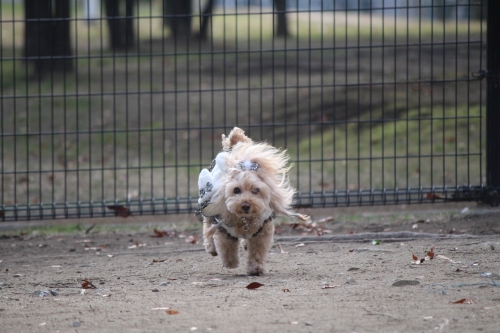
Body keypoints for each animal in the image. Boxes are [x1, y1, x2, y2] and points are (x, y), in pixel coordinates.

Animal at [197, 127, 306, 274]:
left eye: (256, 190)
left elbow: (257, 252)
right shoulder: (224, 229)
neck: (245, 220)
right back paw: (211, 248)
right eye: (236, 190)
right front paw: (231, 263)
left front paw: (255, 268)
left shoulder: (262, 232)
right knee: (207, 227)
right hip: (208, 205)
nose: (245, 205)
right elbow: (227, 249)